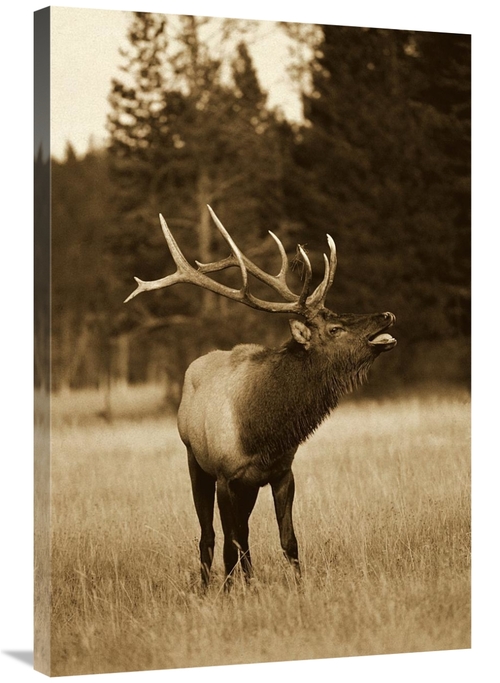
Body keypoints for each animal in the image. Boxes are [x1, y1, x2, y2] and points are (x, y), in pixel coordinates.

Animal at [125, 206, 397, 588]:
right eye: (335, 328)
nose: (386, 314)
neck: (263, 431)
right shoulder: (226, 476)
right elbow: (231, 542)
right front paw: (230, 591)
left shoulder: (281, 472)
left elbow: (288, 540)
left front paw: (296, 586)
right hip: (196, 461)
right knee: (210, 535)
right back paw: (207, 584)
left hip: (248, 486)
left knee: (243, 534)